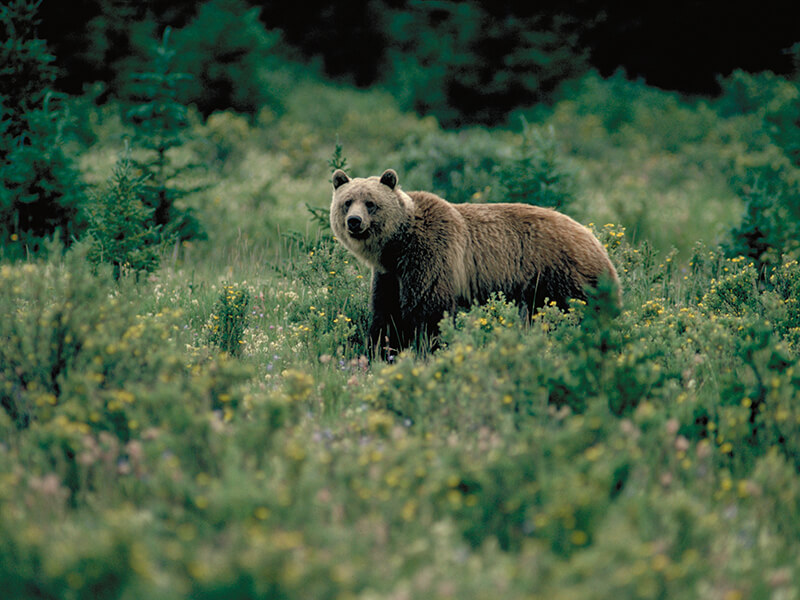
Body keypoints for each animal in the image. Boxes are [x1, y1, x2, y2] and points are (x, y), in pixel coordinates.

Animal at [328, 168, 620, 356]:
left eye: (370, 203)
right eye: (347, 201)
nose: (354, 221)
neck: (398, 245)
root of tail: (597, 243)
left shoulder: (431, 256)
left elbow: (430, 311)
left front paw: (427, 350)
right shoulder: (390, 274)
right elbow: (386, 314)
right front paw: (379, 351)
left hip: (560, 276)